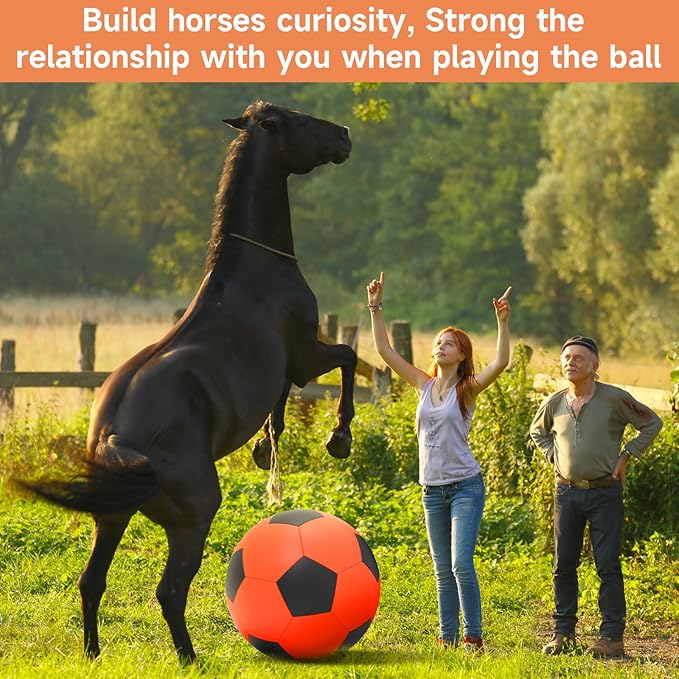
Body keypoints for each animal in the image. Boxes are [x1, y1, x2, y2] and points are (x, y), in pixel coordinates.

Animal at [17, 101, 357, 663]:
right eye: (300, 120)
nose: (345, 136)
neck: (255, 272)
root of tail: (116, 438)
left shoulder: (287, 369)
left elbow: (281, 403)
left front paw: (266, 448)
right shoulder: (307, 355)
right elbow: (348, 359)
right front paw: (339, 436)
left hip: (111, 518)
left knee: (91, 583)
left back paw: (93, 653)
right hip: (192, 516)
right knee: (170, 590)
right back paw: (190, 657)